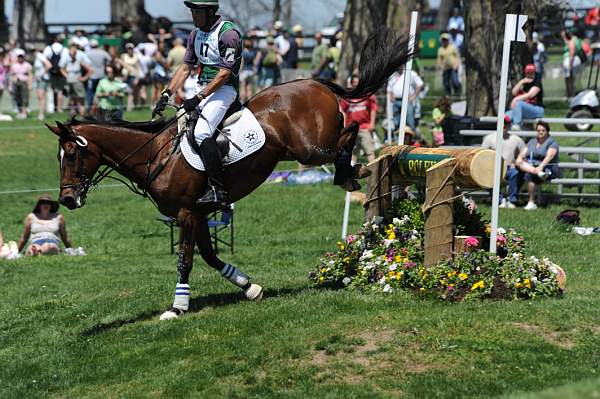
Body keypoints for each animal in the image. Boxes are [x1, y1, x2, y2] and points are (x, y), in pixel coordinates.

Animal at [48, 28, 412, 320]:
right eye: (59, 157)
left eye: (73, 155)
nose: (66, 199)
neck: (155, 154)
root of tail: (313, 82)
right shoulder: (197, 215)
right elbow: (209, 257)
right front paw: (249, 287)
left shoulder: (186, 214)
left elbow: (186, 260)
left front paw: (177, 307)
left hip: (310, 149)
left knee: (349, 132)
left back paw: (350, 171)